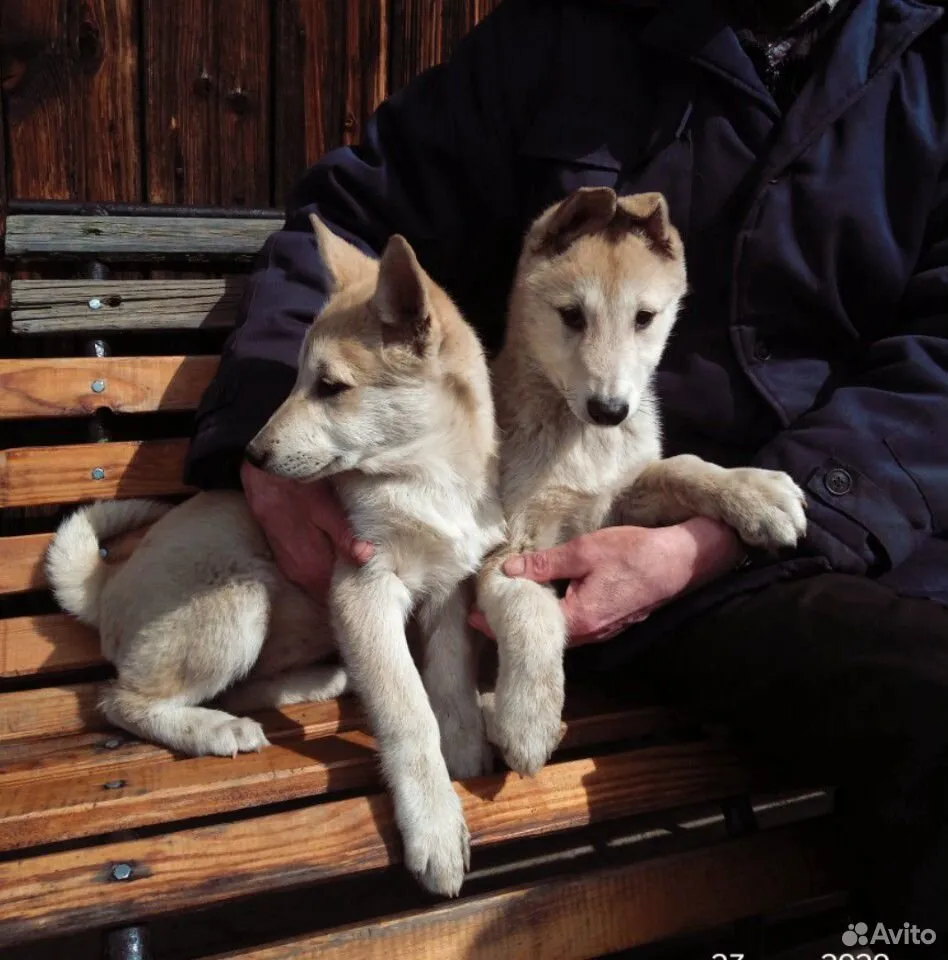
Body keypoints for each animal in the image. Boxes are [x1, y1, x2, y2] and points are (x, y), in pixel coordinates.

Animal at [46, 219, 504, 900]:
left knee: (235, 686)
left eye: (330, 387)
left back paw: (317, 683)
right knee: (119, 700)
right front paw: (435, 826)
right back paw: (213, 730)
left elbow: (446, 684)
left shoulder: (447, 588)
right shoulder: (365, 587)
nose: (252, 457)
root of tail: (107, 583)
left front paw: (465, 750)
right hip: (241, 598)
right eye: (294, 379)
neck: (425, 478)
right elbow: (407, 712)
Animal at [478, 186, 804, 772]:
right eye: (571, 316)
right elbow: (531, 614)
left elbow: (685, 467)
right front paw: (527, 718)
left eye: (644, 318)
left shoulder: (621, 497)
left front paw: (755, 492)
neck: (581, 440)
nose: (610, 410)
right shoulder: (508, 545)